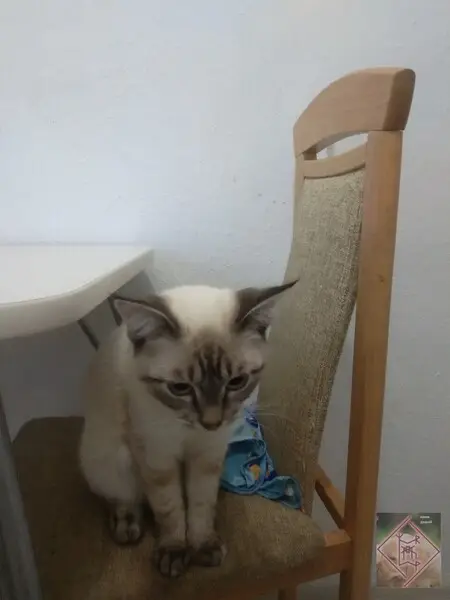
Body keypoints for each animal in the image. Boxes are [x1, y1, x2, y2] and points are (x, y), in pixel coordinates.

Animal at [79, 281, 295, 578]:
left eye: (237, 382)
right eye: (180, 388)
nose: (212, 422)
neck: (188, 429)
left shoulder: (208, 453)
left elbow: (201, 504)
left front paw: (202, 545)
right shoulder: (156, 455)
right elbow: (169, 508)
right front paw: (174, 552)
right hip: (110, 458)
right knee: (124, 496)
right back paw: (127, 526)